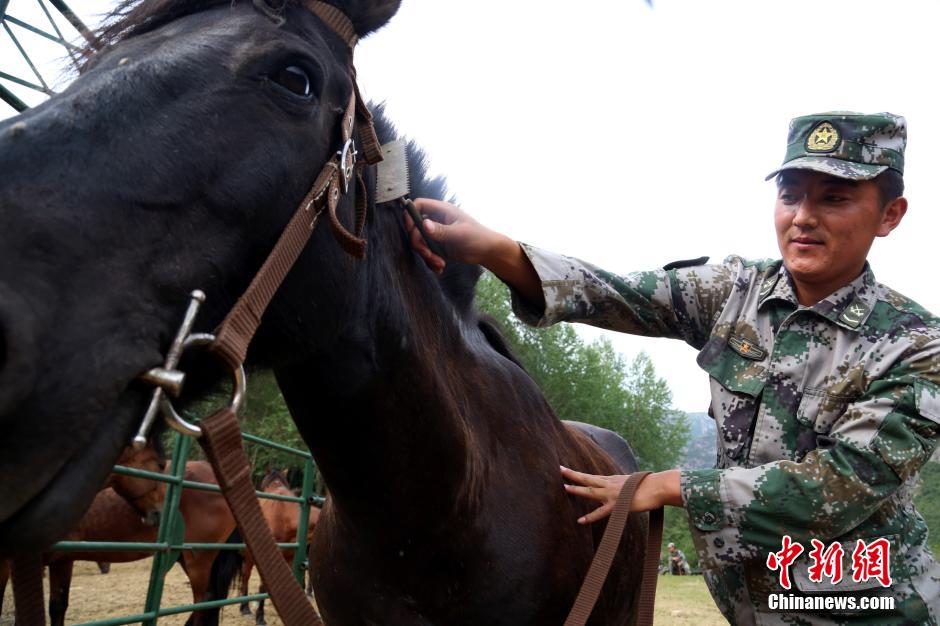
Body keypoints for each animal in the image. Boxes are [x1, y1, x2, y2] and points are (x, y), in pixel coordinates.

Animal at [239, 468, 320, 624]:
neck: (283, 515)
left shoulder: (291, 558)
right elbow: (263, 587)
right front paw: (260, 617)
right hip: (249, 556)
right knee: (245, 576)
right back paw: (245, 608)